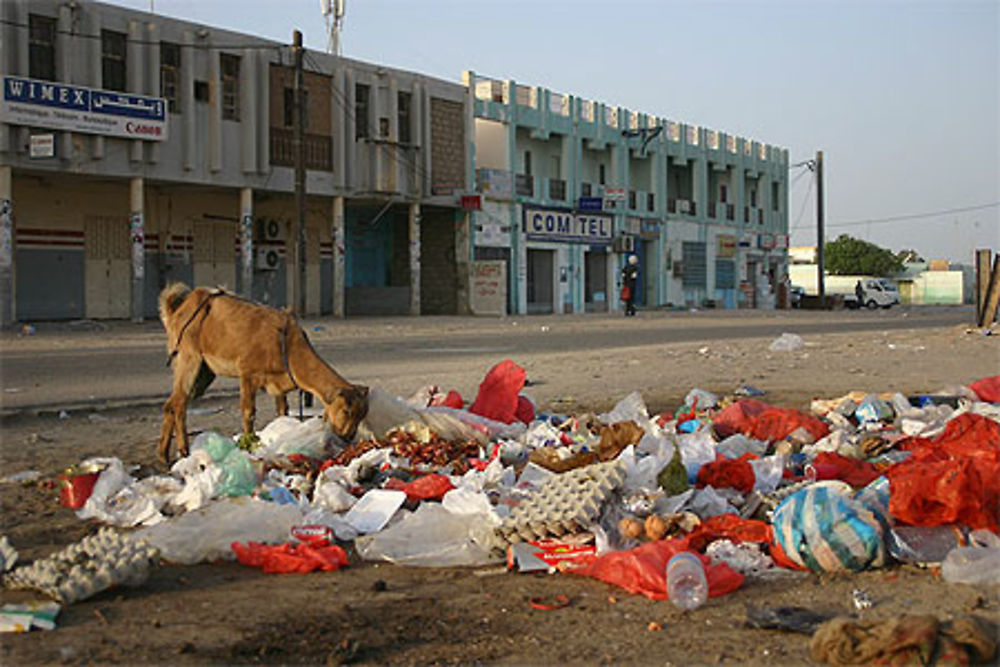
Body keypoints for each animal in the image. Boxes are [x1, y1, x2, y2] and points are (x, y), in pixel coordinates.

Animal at [158, 284, 370, 464]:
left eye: (362, 414)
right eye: (347, 411)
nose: (347, 437)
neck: (286, 343)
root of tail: (177, 309)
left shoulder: (279, 383)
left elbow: (282, 411)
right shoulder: (248, 374)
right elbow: (248, 412)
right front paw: (249, 445)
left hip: (205, 372)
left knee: (171, 404)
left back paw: (163, 454)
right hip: (188, 357)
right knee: (179, 403)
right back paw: (183, 450)